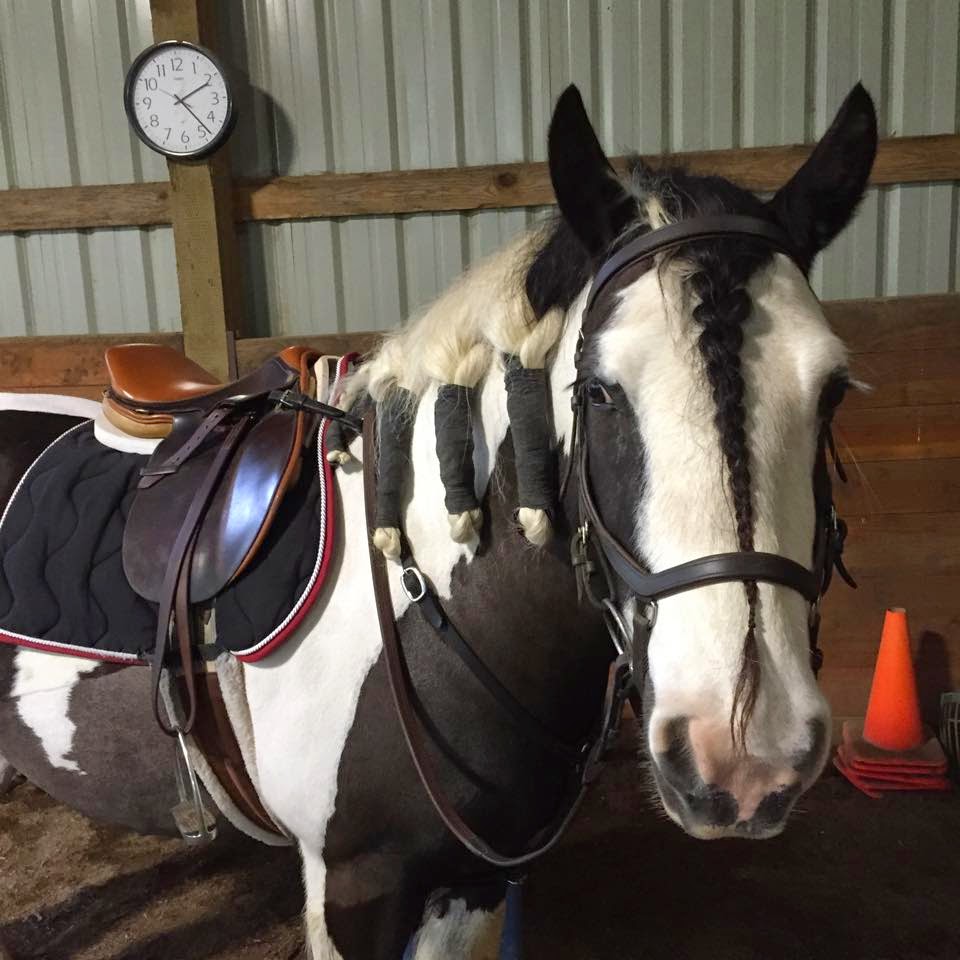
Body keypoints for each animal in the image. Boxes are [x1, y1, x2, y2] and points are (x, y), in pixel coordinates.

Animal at [0, 80, 876, 958]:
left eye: (833, 390)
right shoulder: (355, 887)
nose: (744, 757)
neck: (439, 608)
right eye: (597, 391)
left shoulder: (476, 878)